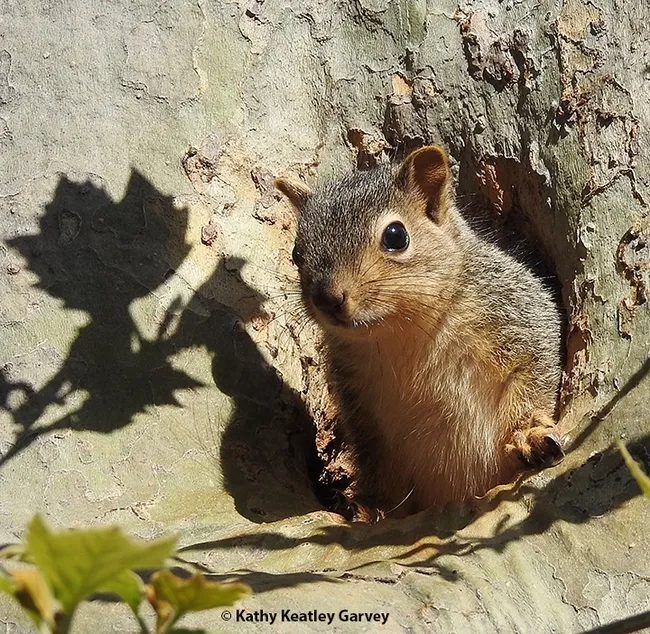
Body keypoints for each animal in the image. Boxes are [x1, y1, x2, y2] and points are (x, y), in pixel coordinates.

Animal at [274, 145, 564, 520]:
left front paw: (529, 435)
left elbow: (533, 377)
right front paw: (372, 509)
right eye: (297, 253)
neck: (403, 333)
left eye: (396, 236)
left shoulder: (521, 319)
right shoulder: (362, 411)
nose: (327, 298)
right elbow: (379, 467)